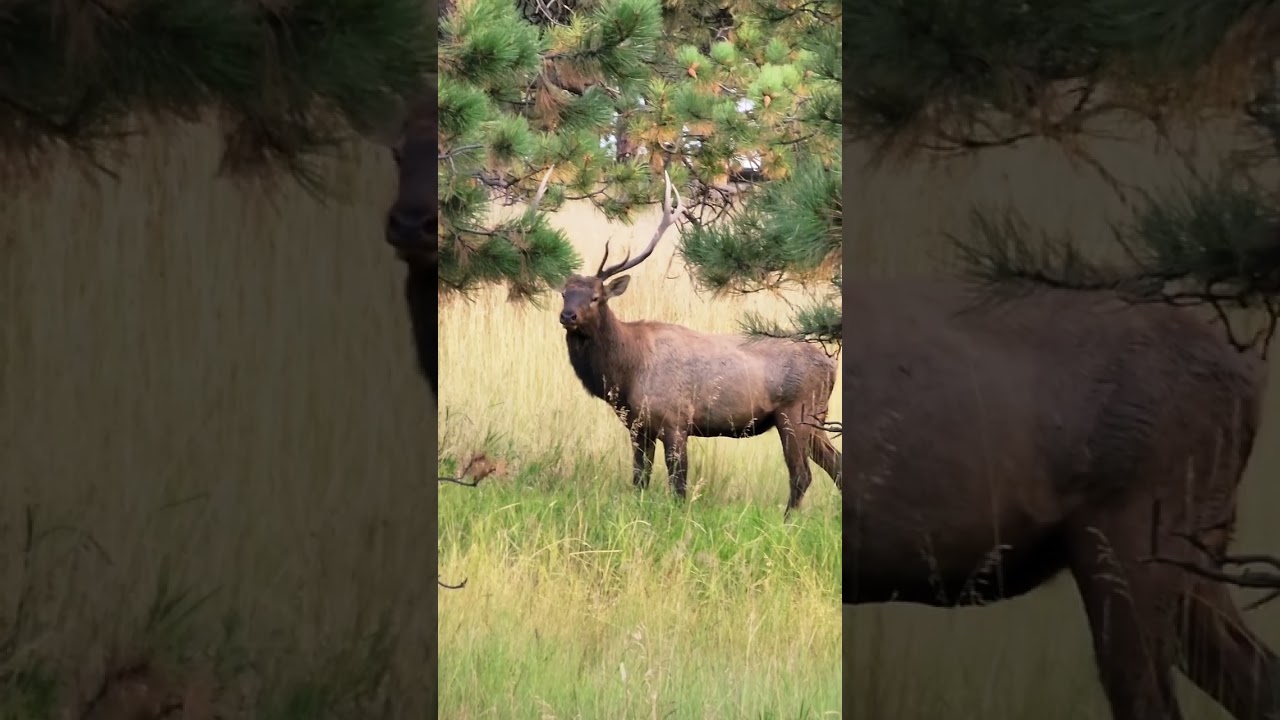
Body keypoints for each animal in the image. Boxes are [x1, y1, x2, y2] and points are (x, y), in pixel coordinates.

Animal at [540, 164, 842, 514]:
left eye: (596, 297)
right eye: (564, 294)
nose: (568, 316)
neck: (626, 372)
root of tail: (831, 366)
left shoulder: (675, 421)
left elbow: (678, 484)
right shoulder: (638, 427)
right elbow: (639, 480)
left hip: (796, 411)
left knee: (802, 474)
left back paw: (786, 520)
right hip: (815, 418)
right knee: (835, 466)